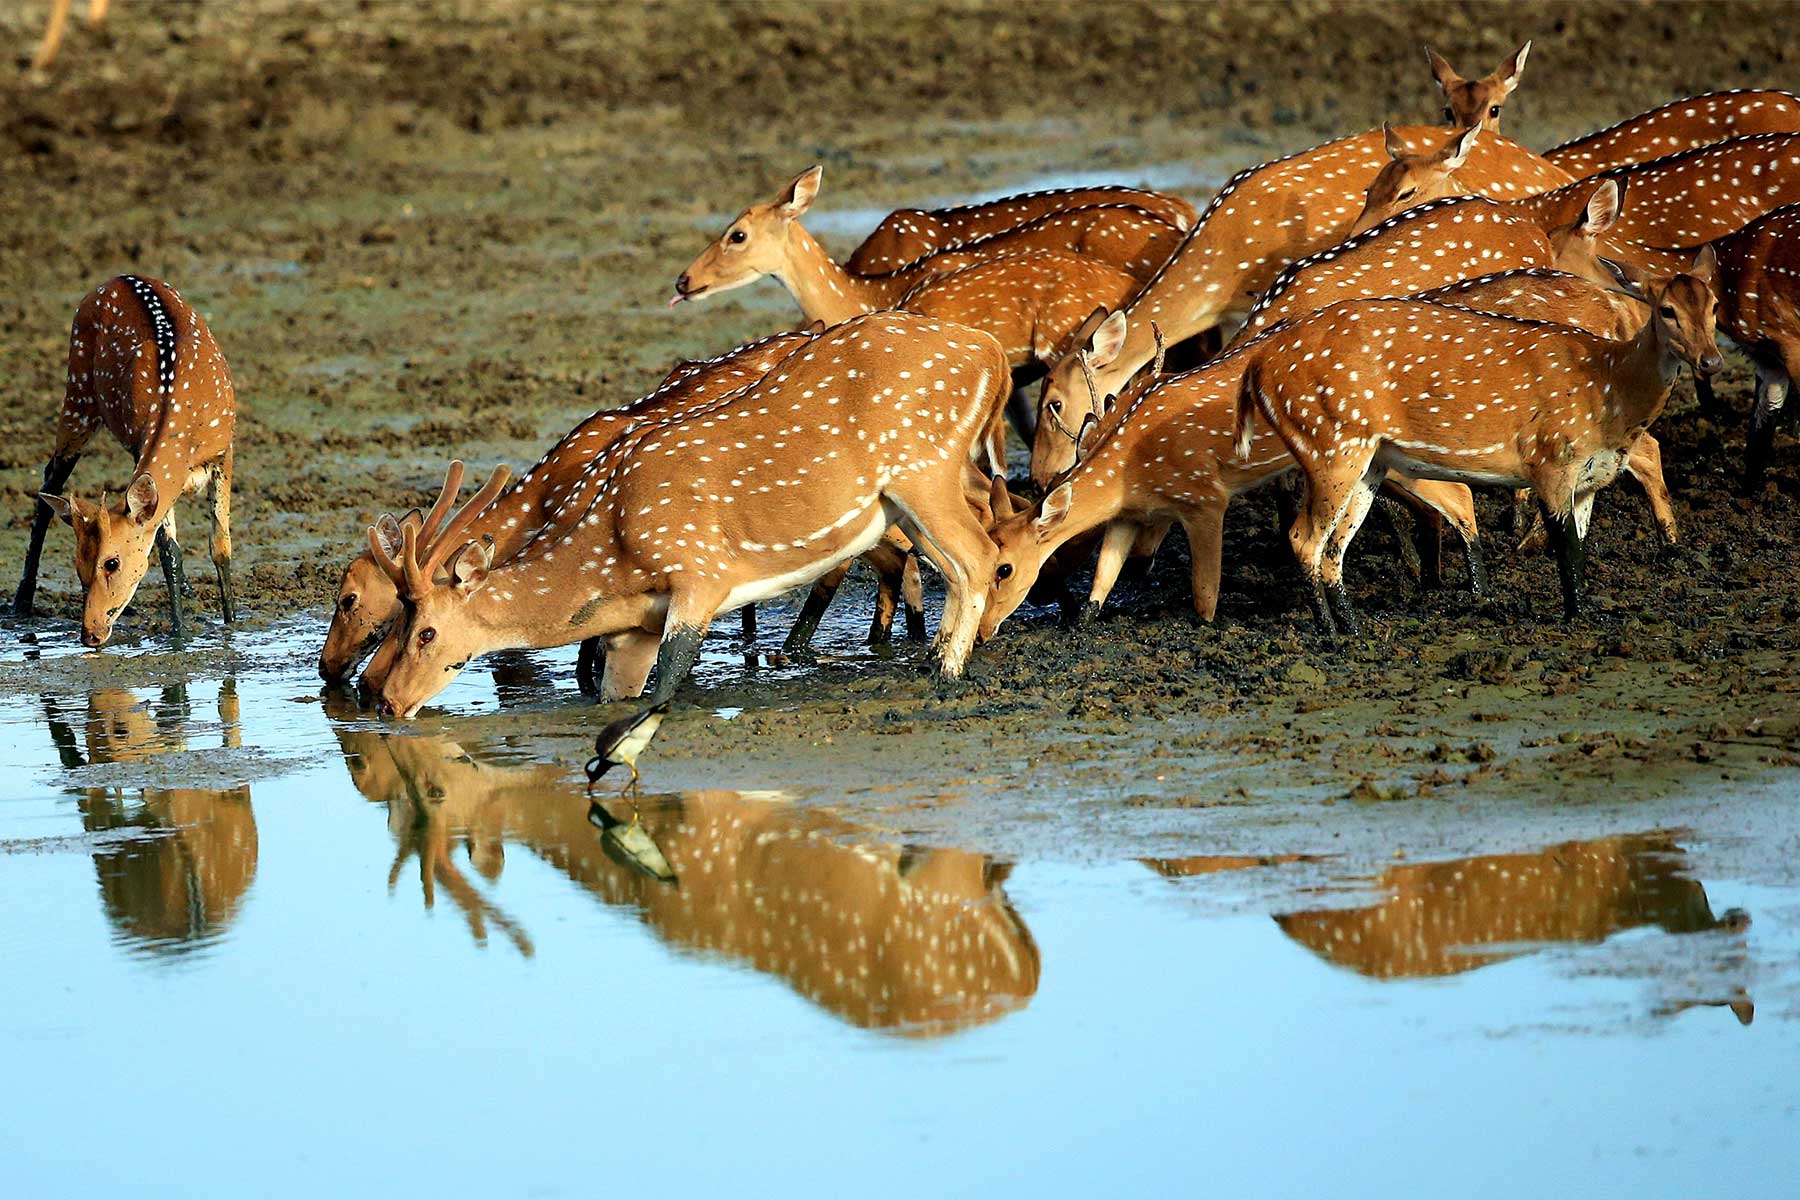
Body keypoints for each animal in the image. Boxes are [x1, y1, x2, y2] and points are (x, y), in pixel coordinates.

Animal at [13, 275, 236, 648]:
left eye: (111, 563)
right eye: (78, 567)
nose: (90, 634)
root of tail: (113, 280)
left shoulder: (225, 453)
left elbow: (220, 546)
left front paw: (231, 625)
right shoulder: (138, 447)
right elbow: (169, 552)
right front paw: (179, 634)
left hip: (78, 397)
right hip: (78, 395)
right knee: (49, 481)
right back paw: (21, 600)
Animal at [980, 322, 1483, 640]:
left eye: (1004, 569)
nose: (983, 633)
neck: (1130, 469)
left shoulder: (1204, 498)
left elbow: (1205, 596)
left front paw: (1204, 627)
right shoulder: (1131, 515)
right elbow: (1103, 578)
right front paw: (1078, 624)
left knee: (1458, 493)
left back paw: (1474, 593)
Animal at [1234, 250, 1723, 635]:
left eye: (1714, 305)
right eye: (1666, 310)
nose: (1711, 360)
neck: (1608, 388)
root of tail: (1255, 371)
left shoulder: (1588, 479)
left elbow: (1579, 547)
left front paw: (1588, 612)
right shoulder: (1550, 460)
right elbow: (1566, 549)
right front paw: (1574, 617)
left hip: (1366, 462)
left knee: (1334, 548)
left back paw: (1354, 627)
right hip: (1331, 446)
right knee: (1303, 538)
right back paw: (1332, 633)